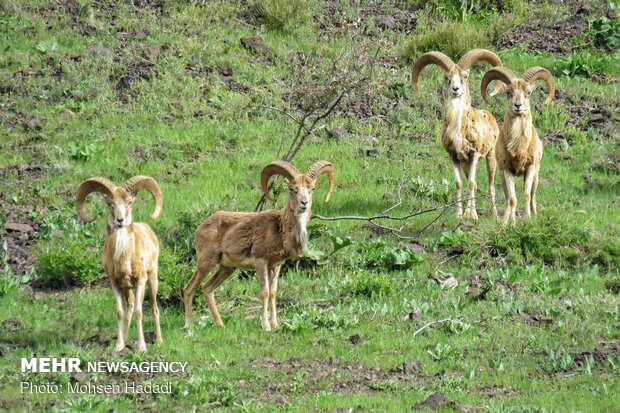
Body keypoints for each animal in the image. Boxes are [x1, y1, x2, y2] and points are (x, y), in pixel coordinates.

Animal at [76, 175, 163, 352]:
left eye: (129, 202)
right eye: (110, 204)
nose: (120, 220)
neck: (123, 257)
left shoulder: (140, 281)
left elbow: (139, 312)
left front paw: (142, 348)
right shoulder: (116, 284)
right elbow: (120, 312)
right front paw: (118, 346)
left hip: (152, 279)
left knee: (153, 306)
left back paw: (158, 341)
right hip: (127, 288)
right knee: (130, 306)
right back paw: (124, 342)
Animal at [183, 159, 334, 334]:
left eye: (312, 189)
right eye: (293, 189)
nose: (304, 203)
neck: (281, 227)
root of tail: (200, 229)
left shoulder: (275, 266)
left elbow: (274, 292)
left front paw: (276, 325)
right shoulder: (261, 262)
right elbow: (265, 292)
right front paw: (266, 326)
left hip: (226, 268)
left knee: (207, 289)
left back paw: (220, 324)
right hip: (206, 262)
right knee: (189, 289)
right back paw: (190, 327)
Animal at [412, 48, 504, 219]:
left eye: (465, 76)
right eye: (447, 77)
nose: (455, 89)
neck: (459, 128)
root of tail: (491, 117)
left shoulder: (474, 154)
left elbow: (472, 184)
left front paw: (473, 215)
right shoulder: (454, 156)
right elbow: (460, 183)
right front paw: (459, 214)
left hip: (491, 157)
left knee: (491, 186)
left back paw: (495, 215)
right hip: (466, 164)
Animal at [480, 66, 556, 225]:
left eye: (528, 93)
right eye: (509, 93)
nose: (518, 106)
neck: (518, 148)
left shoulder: (530, 168)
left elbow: (526, 196)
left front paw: (528, 221)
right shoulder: (507, 170)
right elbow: (512, 199)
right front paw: (510, 225)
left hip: (536, 176)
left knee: (532, 197)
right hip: (502, 175)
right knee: (509, 199)